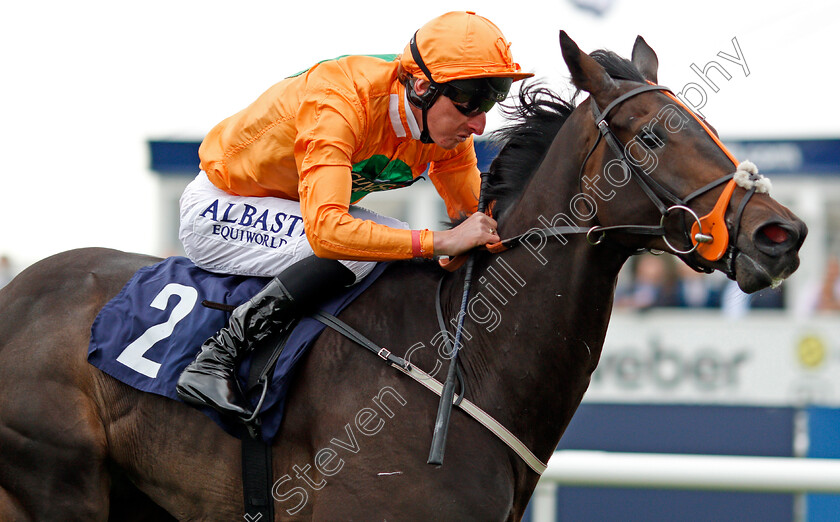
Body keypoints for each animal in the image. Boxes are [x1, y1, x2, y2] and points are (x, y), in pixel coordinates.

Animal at [0, 33, 808, 520]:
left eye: (706, 128)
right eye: (650, 135)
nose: (783, 234)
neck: (465, 357)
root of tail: (17, 293)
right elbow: (334, 224)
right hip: (57, 484)